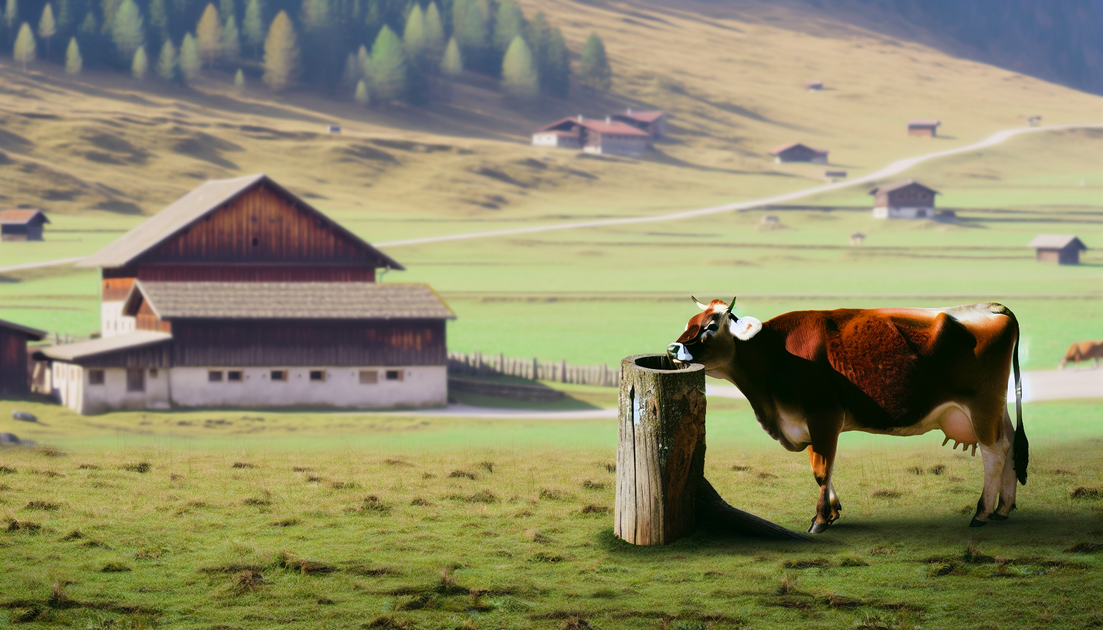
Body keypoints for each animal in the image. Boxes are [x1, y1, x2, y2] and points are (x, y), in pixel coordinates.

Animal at [667, 298, 1027, 533]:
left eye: (711, 326)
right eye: (688, 324)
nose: (672, 349)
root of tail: (992, 306)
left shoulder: (824, 414)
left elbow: (821, 470)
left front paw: (820, 520)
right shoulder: (807, 421)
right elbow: (822, 467)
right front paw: (833, 511)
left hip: (981, 403)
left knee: (994, 453)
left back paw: (981, 513)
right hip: (996, 406)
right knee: (1009, 444)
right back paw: (1003, 509)